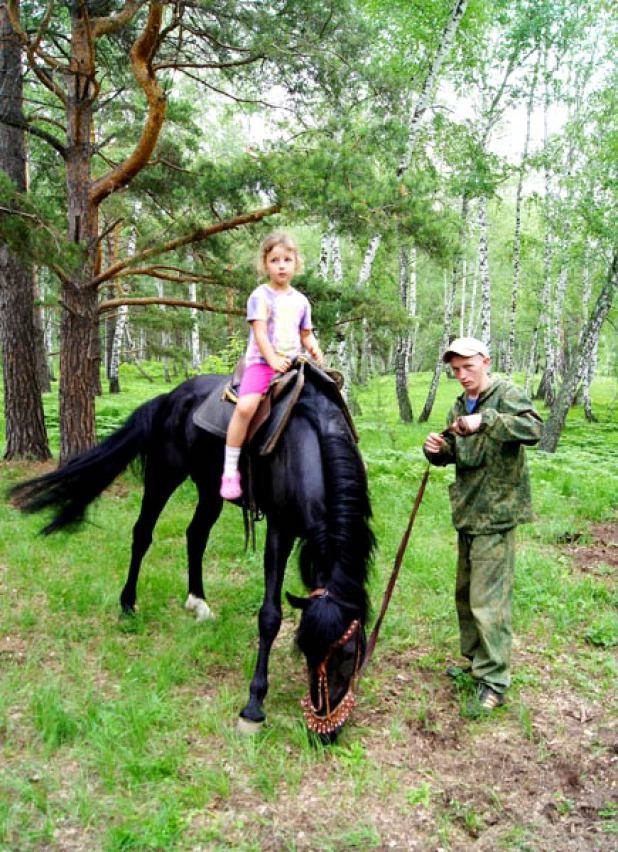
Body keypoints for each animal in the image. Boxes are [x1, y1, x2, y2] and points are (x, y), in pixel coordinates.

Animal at [12, 370, 372, 736]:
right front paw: (253, 706)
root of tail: (170, 396)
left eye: (350, 653)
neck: (312, 440)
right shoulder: (279, 531)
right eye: (308, 651)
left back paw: (198, 601)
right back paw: (128, 604)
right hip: (164, 474)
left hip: (210, 488)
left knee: (195, 535)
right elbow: (270, 615)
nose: (325, 732)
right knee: (143, 534)